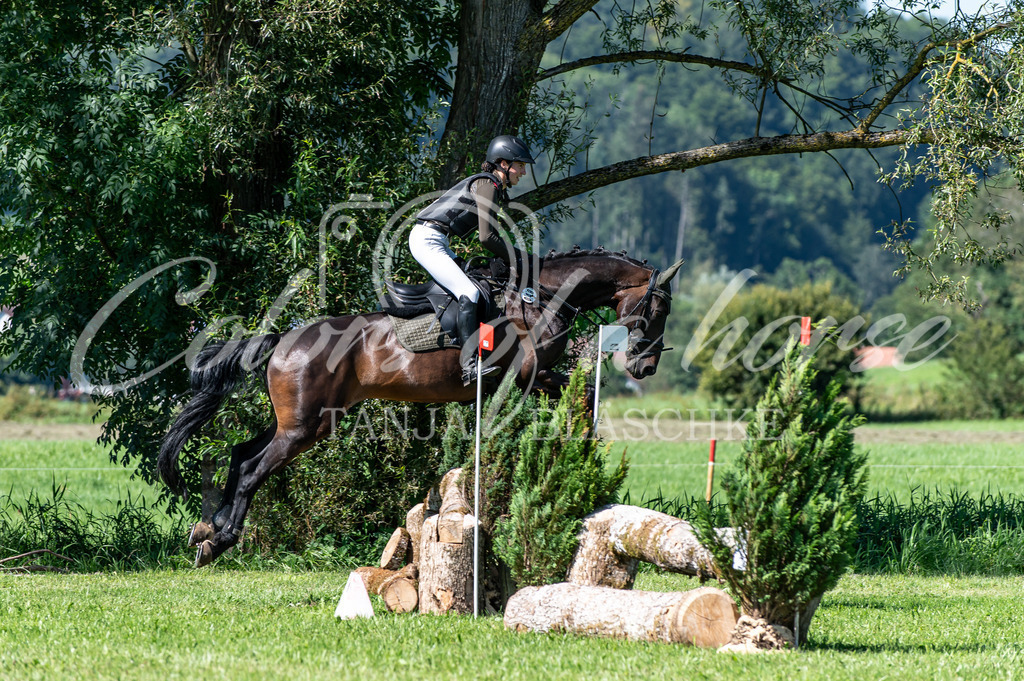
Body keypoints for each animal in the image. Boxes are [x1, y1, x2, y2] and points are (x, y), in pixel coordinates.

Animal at [159, 246, 684, 565]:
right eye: (659, 310)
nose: (644, 367)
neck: (541, 298)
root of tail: (283, 339)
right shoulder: (524, 378)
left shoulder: (534, 380)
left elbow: (581, 394)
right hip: (304, 428)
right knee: (252, 469)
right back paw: (222, 540)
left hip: (304, 422)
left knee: (241, 453)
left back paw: (207, 530)